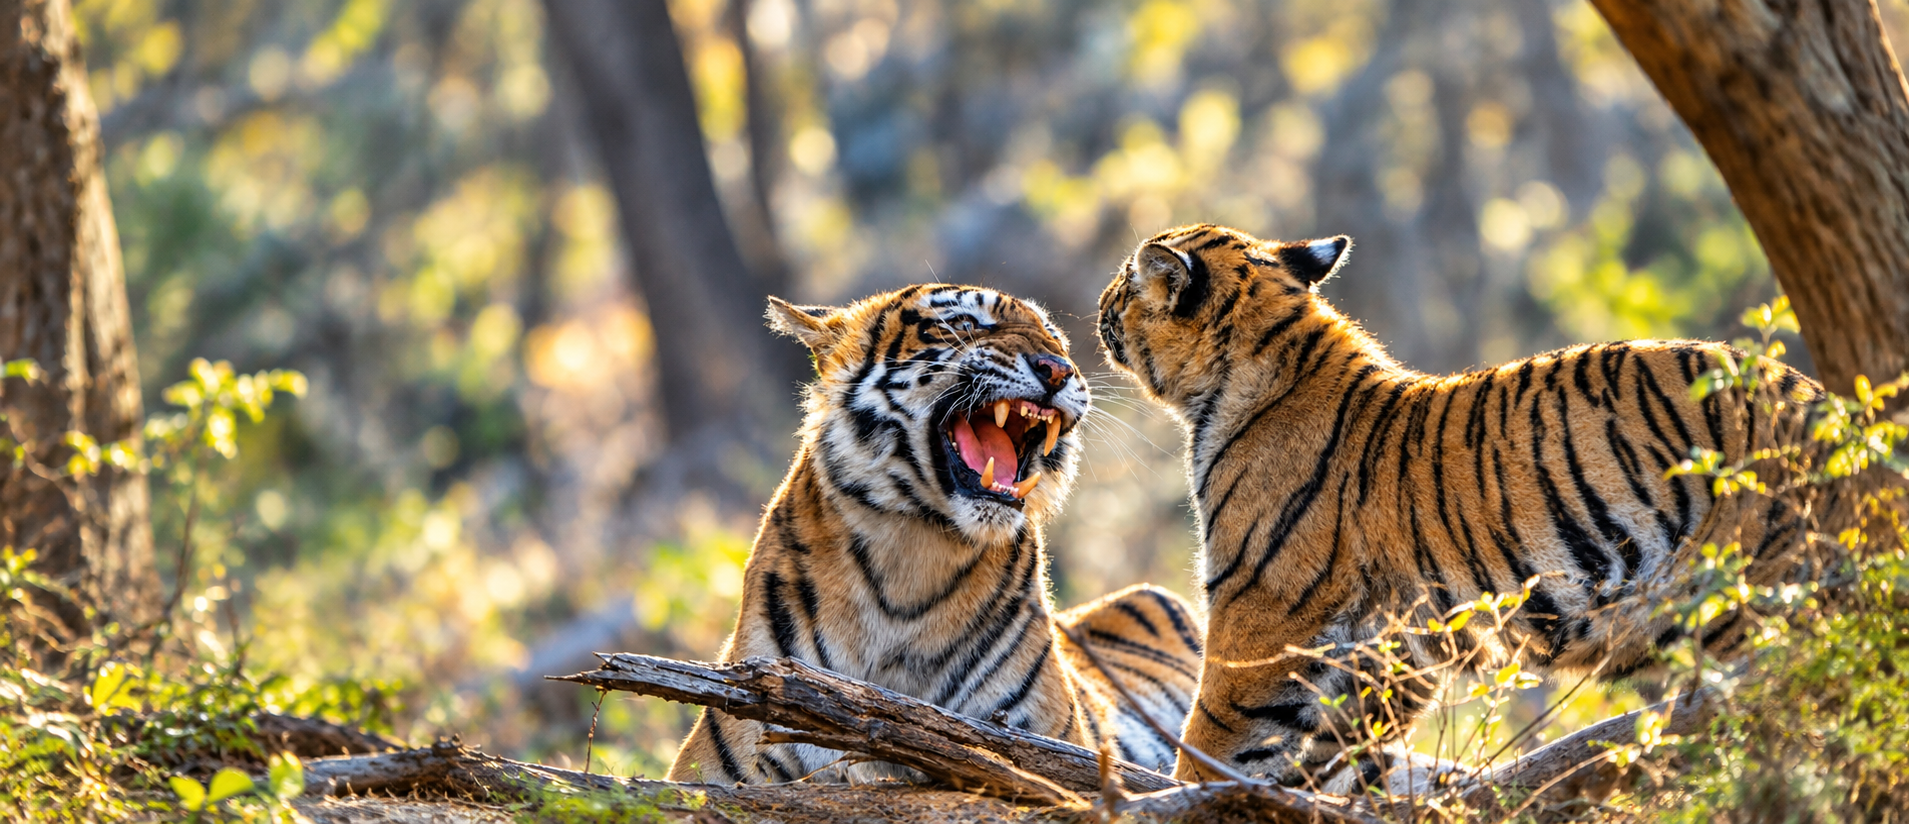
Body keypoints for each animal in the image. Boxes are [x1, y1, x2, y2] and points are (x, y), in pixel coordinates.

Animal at [1095, 223, 1826, 790]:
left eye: (1127, 283)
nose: (1100, 302)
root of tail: (1815, 397)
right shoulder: (1388, 642)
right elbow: (1339, 750)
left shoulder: (1259, 611)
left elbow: (1212, 735)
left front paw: (1181, 798)